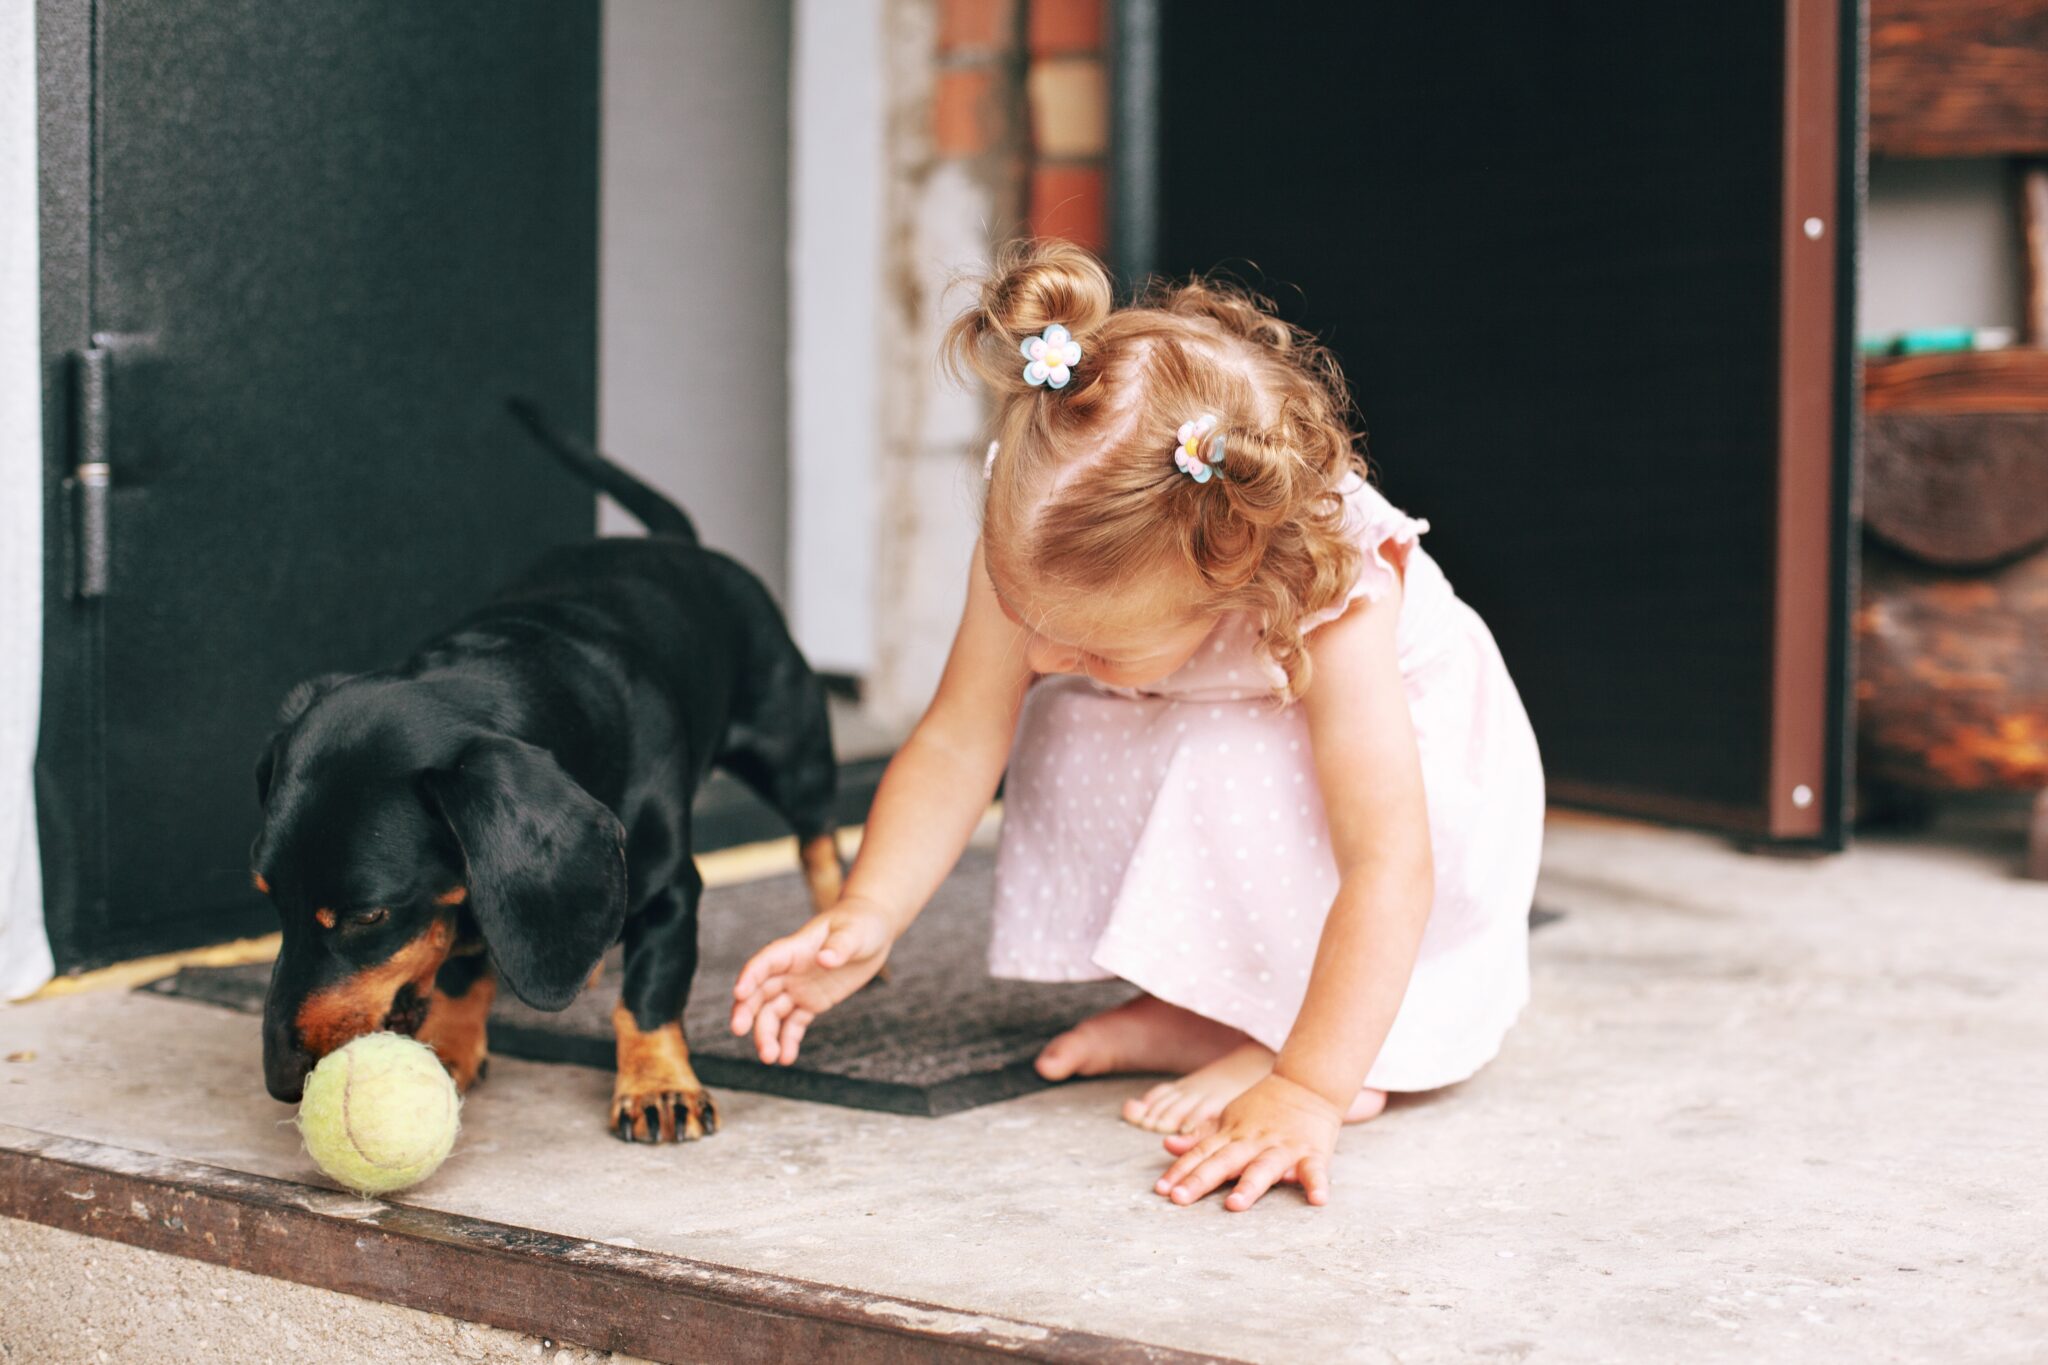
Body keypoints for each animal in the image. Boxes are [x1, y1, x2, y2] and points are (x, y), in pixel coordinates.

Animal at [253, 405, 839, 1146]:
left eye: (368, 915)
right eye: (269, 897)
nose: (279, 1081)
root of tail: (675, 542)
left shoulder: (673, 890)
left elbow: (649, 995)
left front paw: (658, 1084)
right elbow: (461, 964)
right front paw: (451, 1046)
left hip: (792, 751)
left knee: (819, 839)